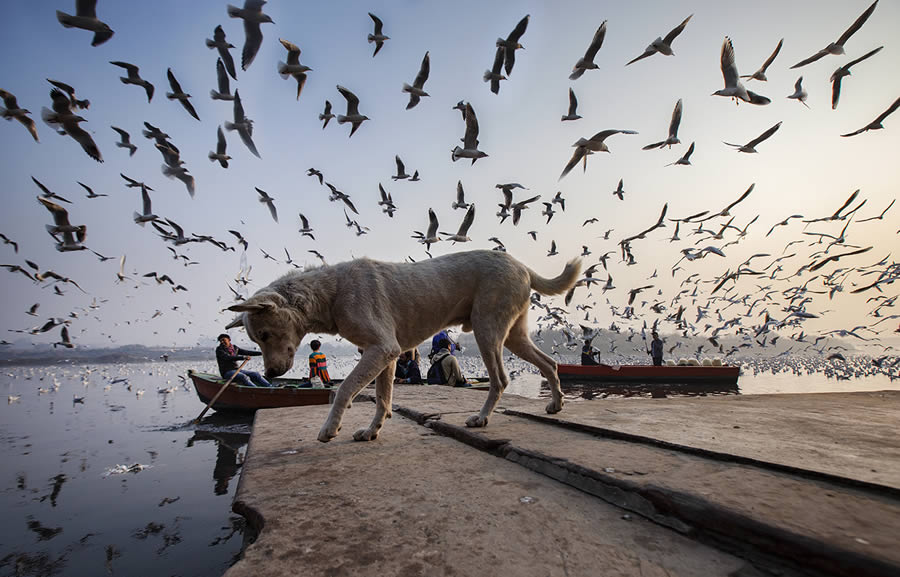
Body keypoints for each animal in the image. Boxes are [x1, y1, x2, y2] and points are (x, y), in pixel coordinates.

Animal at [229, 249, 580, 440]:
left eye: (264, 335)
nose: (271, 374)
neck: (332, 291)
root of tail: (522, 265)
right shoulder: (386, 355)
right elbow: (383, 399)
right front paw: (371, 432)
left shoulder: (382, 349)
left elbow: (344, 389)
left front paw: (330, 429)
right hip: (514, 336)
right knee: (550, 363)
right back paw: (555, 404)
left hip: (487, 330)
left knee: (501, 380)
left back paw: (481, 418)